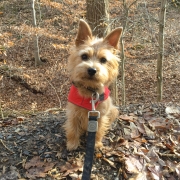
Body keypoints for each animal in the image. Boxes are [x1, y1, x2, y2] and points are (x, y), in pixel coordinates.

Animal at [63, 19, 122, 150]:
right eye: (84, 56)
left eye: (103, 60)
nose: (92, 70)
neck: (90, 91)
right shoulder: (73, 112)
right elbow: (72, 127)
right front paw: (72, 143)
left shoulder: (100, 114)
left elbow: (99, 130)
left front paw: (97, 143)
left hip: (114, 110)